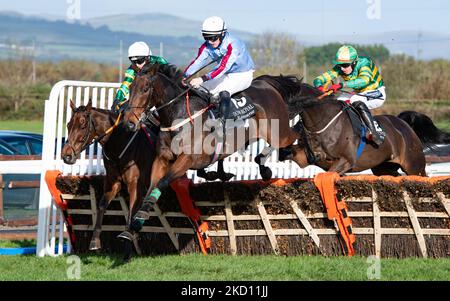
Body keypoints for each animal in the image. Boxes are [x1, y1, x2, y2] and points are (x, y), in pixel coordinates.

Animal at [60, 100, 157, 253]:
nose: (66, 155)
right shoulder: (113, 183)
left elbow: (131, 211)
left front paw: (128, 242)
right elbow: (102, 205)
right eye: (69, 124)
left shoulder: (135, 185)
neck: (120, 144)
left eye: (82, 125)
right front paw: (94, 241)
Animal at [119, 63, 308, 234]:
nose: (129, 123)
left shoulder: (186, 160)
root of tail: (266, 83)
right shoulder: (162, 159)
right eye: (130, 88)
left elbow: (163, 181)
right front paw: (135, 223)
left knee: (295, 133)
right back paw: (264, 169)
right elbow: (152, 186)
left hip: (278, 132)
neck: (178, 116)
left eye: (145, 89)